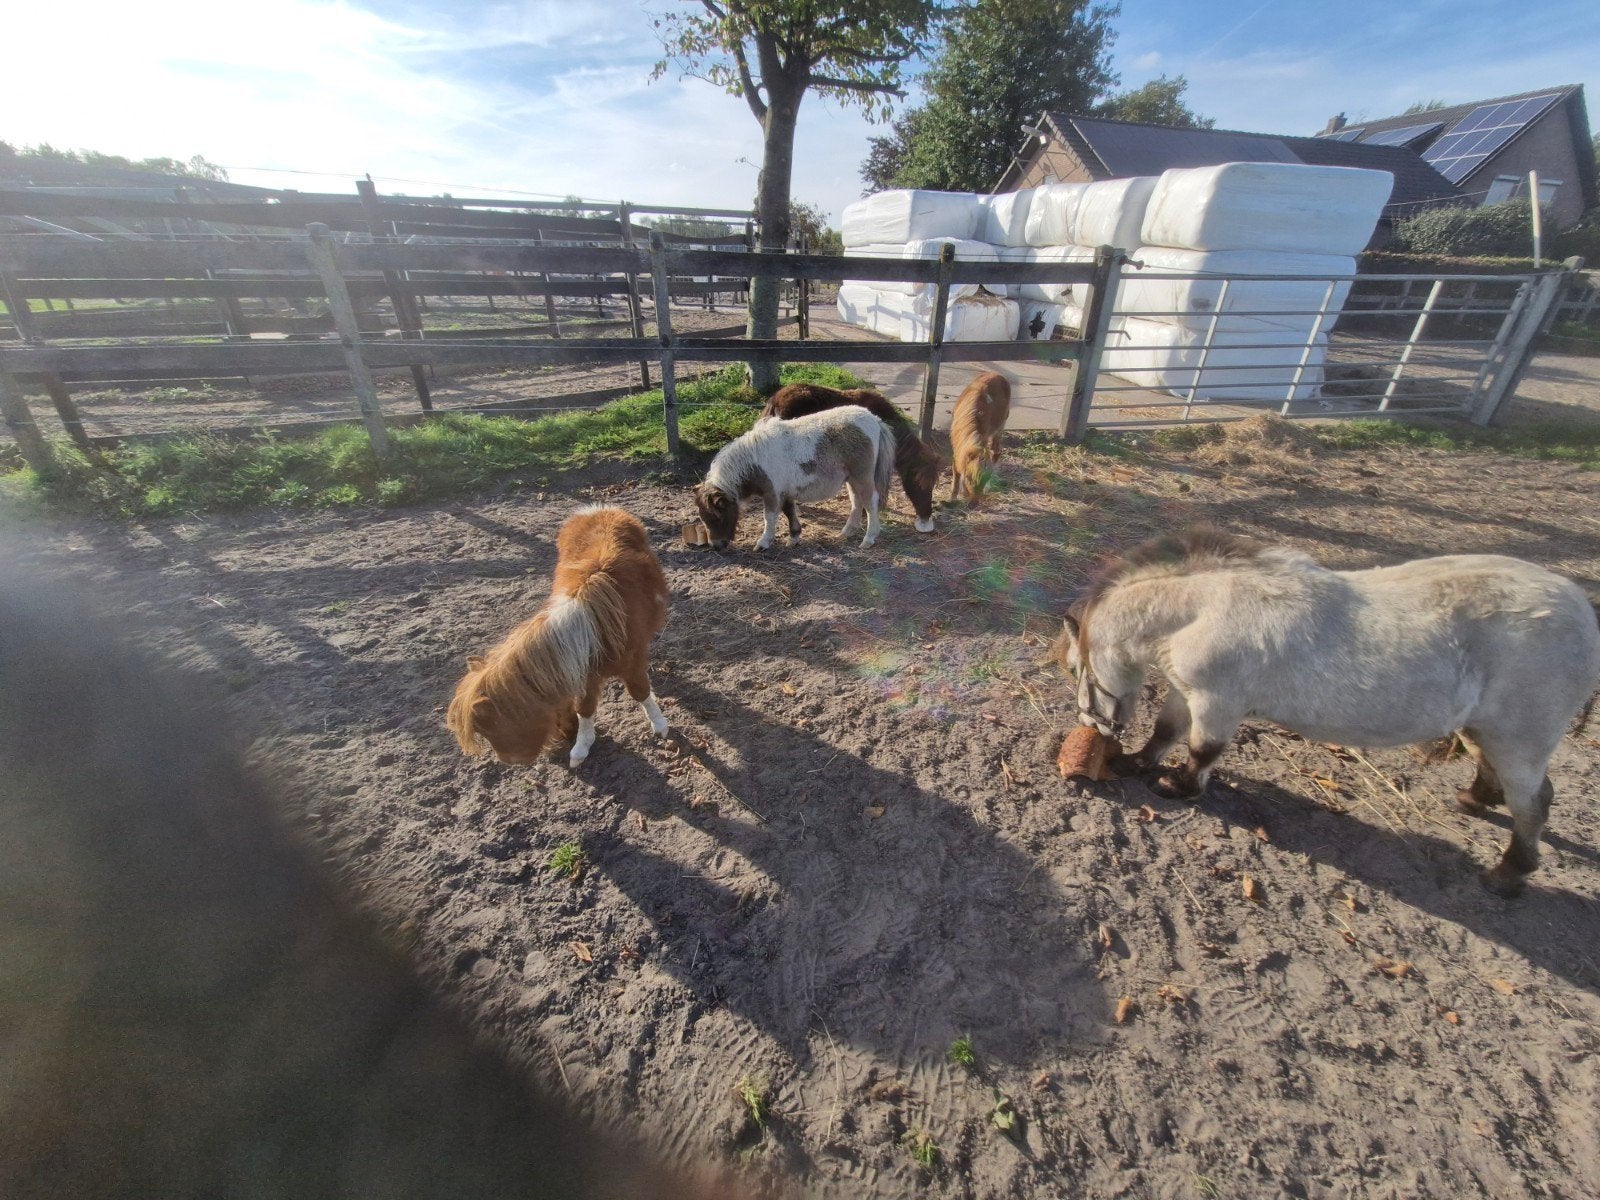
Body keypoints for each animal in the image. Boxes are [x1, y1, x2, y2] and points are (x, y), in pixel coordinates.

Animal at [448, 505, 670, 769]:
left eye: (490, 726)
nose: (510, 761)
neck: (592, 631)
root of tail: (597, 509)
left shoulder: (632, 663)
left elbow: (640, 692)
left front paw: (659, 724)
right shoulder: (585, 676)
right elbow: (584, 708)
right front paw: (581, 748)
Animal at [694, 405, 895, 551]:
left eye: (717, 517)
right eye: (703, 518)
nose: (716, 546)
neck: (755, 460)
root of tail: (875, 420)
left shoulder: (772, 493)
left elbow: (770, 517)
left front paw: (763, 542)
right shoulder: (785, 492)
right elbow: (789, 511)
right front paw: (794, 537)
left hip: (862, 476)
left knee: (870, 502)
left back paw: (868, 539)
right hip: (852, 478)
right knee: (856, 501)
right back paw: (846, 533)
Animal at [949, 371, 1011, 502]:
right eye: (968, 478)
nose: (975, 501)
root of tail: (996, 373)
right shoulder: (957, 446)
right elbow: (956, 467)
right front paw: (952, 498)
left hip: (1000, 426)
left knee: (996, 451)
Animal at [1051, 528, 1600, 897]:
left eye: (1075, 667)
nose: (1093, 728)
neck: (1202, 611)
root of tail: (1583, 613)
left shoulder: (1217, 703)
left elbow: (1202, 750)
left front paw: (1177, 787)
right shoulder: (1187, 693)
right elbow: (1166, 730)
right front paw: (1139, 763)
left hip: (1521, 739)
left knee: (1535, 804)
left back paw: (1507, 874)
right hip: (1487, 729)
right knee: (1497, 774)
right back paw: (1473, 800)